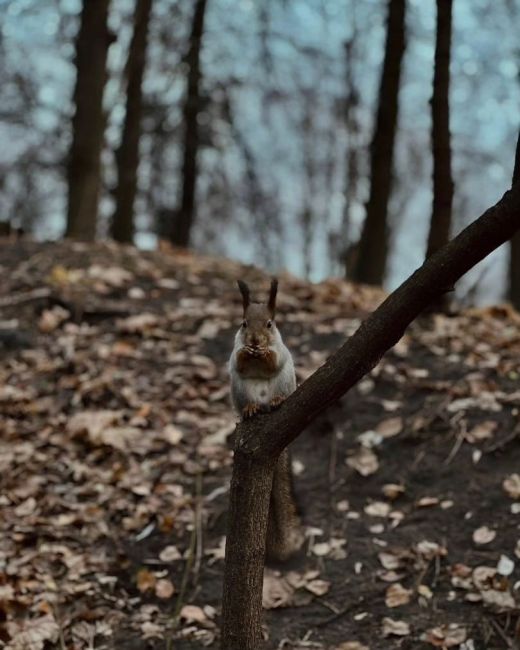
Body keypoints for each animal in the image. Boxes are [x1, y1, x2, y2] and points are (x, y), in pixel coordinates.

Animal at [229, 276, 304, 560]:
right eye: (243, 323)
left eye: (270, 324)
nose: (255, 340)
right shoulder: (235, 353)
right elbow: (239, 361)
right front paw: (247, 352)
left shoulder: (280, 351)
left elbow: (274, 360)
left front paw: (263, 353)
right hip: (239, 391)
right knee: (247, 404)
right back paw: (251, 409)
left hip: (285, 382)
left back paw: (275, 401)